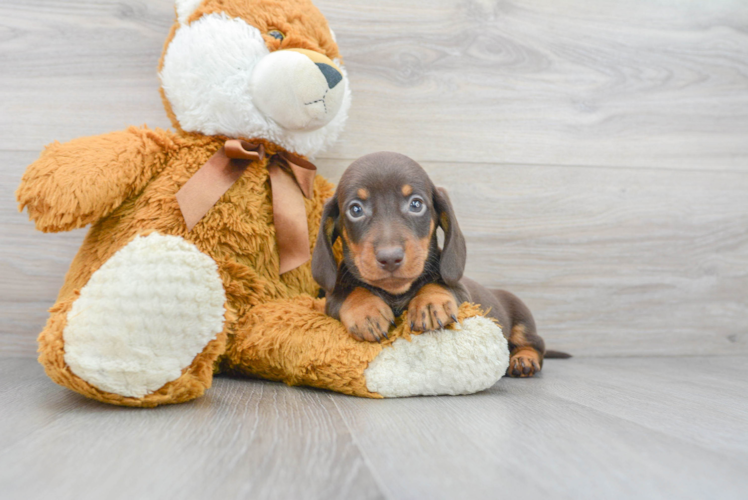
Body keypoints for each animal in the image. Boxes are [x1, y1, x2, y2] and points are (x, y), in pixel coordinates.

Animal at [310, 150, 560, 376]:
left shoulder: (463, 296)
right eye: (355, 209)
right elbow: (351, 293)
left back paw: (524, 360)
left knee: (536, 344)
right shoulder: (331, 300)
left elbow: (438, 284)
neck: (396, 293)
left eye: (416, 204)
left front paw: (430, 303)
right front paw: (366, 311)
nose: (390, 257)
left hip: (522, 322)